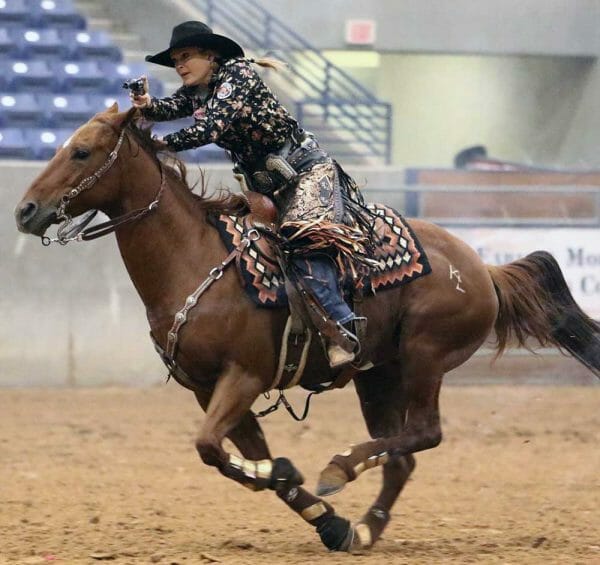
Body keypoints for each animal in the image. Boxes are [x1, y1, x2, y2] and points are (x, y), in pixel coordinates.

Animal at [14, 106, 600, 552]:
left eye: (81, 151)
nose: (25, 210)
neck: (194, 261)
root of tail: (483, 268)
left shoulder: (244, 376)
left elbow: (208, 447)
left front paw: (295, 477)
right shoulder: (209, 389)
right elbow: (231, 455)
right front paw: (320, 513)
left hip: (425, 358)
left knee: (424, 433)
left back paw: (340, 467)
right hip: (378, 375)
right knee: (401, 454)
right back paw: (364, 527)